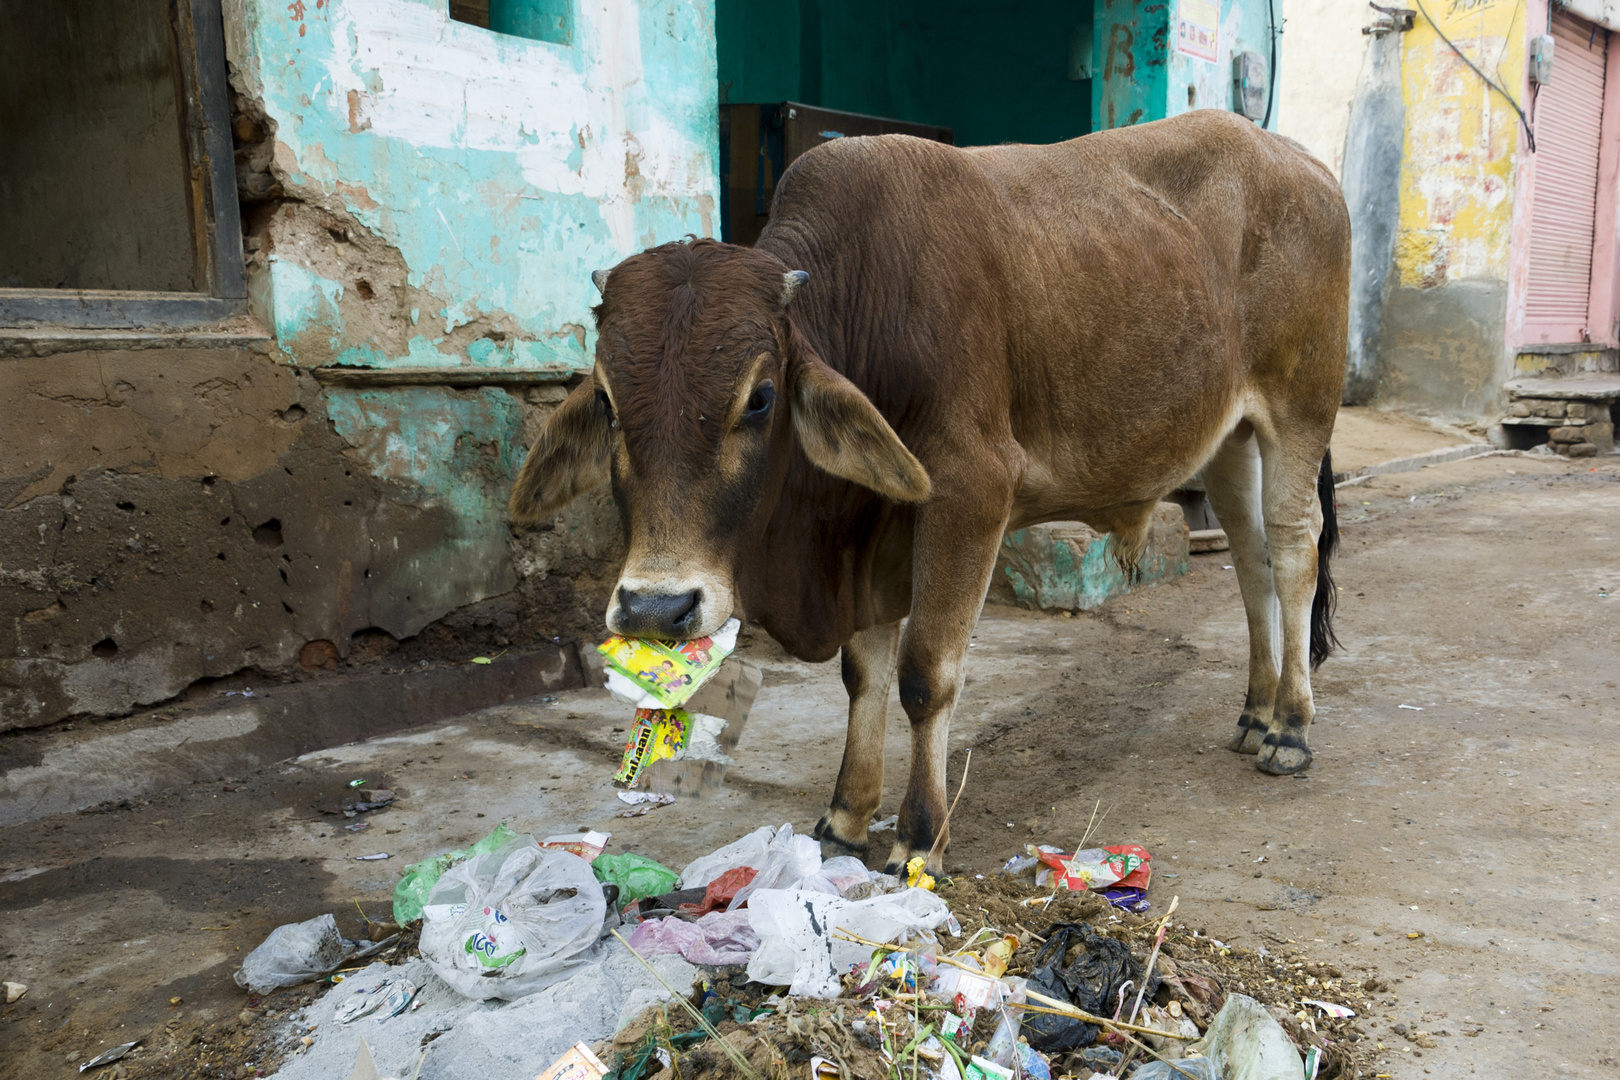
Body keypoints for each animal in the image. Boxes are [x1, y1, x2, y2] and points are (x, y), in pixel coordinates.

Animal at [511, 110, 1347, 874]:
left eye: (760, 398)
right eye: (609, 401)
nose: (656, 609)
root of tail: (1302, 160)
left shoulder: (970, 495)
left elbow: (925, 674)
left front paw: (920, 836)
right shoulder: (872, 530)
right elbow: (864, 673)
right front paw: (847, 817)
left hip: (1300, 410)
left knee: (1294, 554)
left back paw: (1292, 729)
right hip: (1231, 438)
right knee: (1251, 563)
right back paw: (1256, 710)